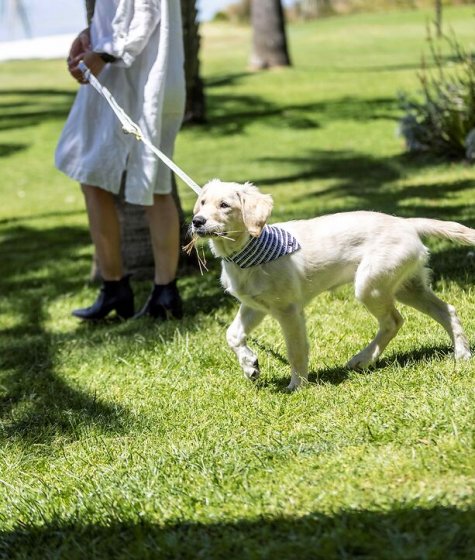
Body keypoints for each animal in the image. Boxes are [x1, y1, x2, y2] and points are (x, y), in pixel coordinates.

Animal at [192, 179, 474, 390]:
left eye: (225, 205)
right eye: (203, 203)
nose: (196, 221)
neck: (245, 253)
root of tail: (405, 222)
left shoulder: (288, 310)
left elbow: (295, 350)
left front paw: (297, 385)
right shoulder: (255, 305)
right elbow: (232, 334)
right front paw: (250, 364)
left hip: (370, 284)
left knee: (393, 321)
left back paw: (364, 358)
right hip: (406, 285)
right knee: (445, 310)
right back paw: (461, 354)